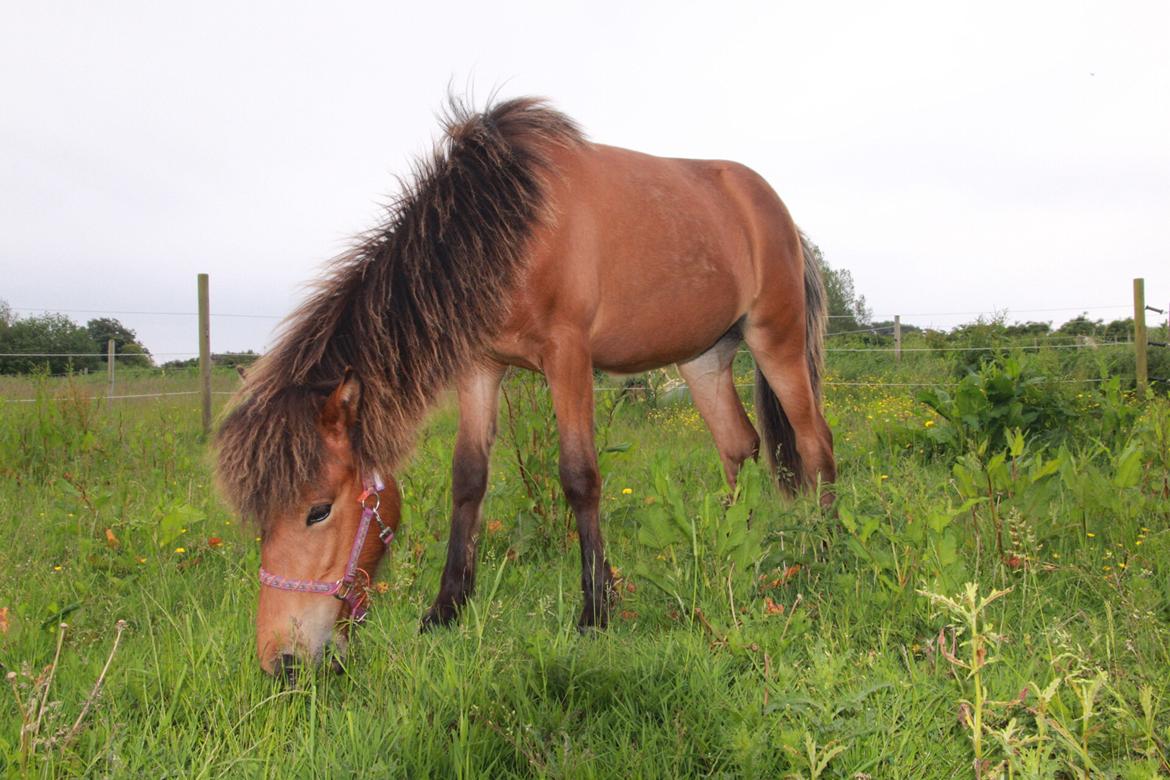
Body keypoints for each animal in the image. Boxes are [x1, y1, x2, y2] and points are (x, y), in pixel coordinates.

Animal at [217, 99, 833, 678]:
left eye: (318, 510)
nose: (281, 660)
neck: (507, 224)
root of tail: (781, 215)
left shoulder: (568, 356)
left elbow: (579, 477)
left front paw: (595, 613)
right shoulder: (479, 367)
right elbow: (468, 479)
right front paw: (445, 609)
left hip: (775, 341)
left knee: (814, 443)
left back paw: (826, 549)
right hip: (703, 359)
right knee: (738, 446)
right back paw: (732, 548)